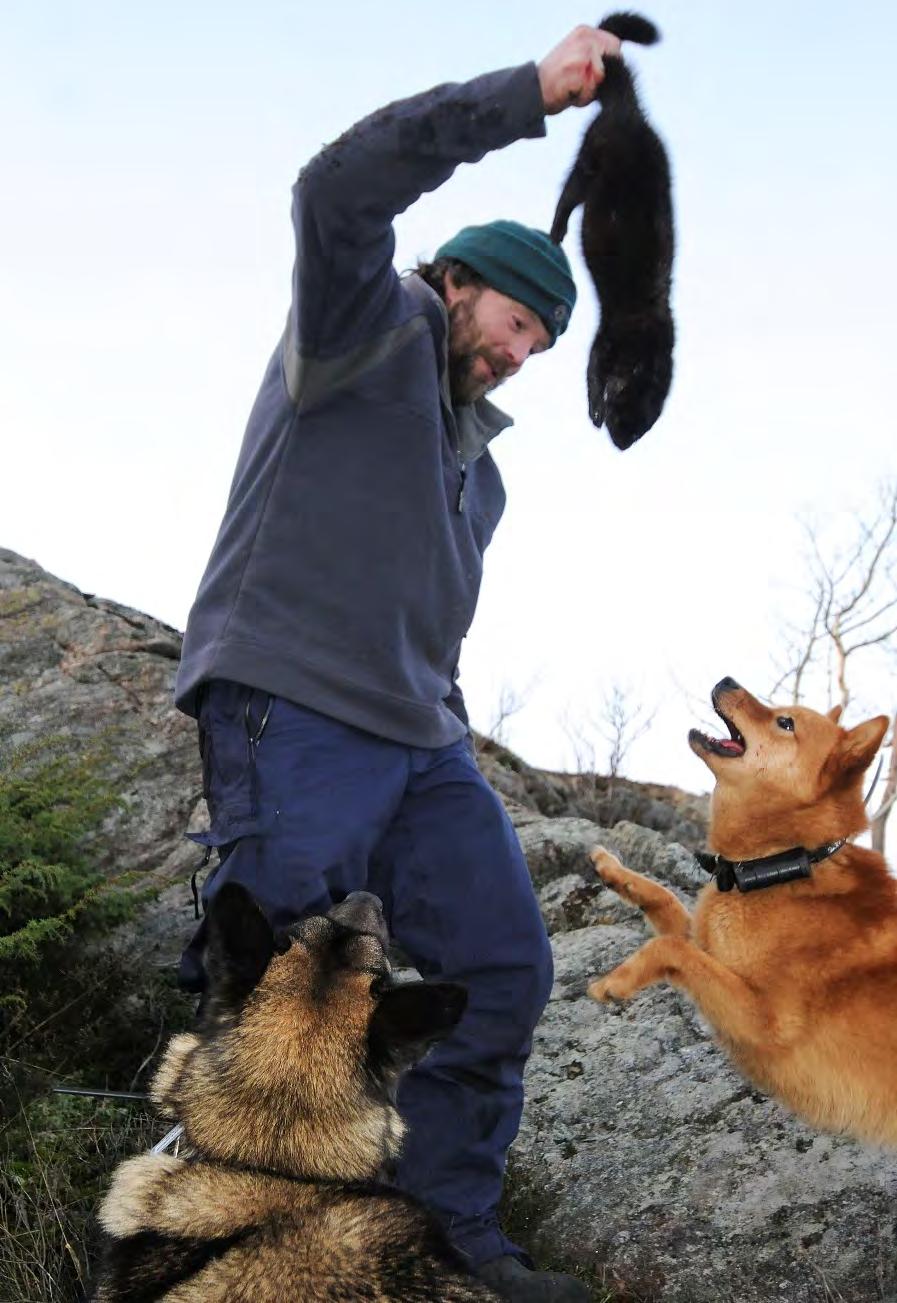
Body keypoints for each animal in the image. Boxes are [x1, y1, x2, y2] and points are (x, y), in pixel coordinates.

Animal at [550, 11, 677, 453]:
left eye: (640, 432)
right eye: (625, 422)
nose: (622, 446)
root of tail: (631, 111)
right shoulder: (607, 334)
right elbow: (592, 369)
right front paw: (592, 408)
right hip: (589, 162)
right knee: (566, 197)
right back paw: (554, 233)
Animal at [589, 677, 897, 1146]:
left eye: (785, 722)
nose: (727, 680)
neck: (784, 864)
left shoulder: (762, 1020)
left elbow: (668, 948)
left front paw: (615, 981)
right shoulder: (709, 946)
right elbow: (667, 904)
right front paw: (613, 870)